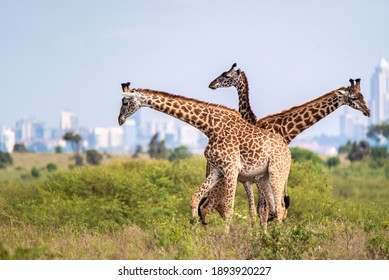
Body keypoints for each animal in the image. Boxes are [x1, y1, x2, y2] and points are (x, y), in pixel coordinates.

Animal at [118, 81, 292, 230]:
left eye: (125, 102)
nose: (120, 120)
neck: (209, 128)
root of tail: (288, 152)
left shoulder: (231, 170)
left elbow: (229, 209)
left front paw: (225, 238)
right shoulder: (217, 170)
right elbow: (195, 199)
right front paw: (195, 231)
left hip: (277, 173)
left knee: (279, 208)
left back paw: (276, 239)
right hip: (263, 178)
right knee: (274, 208)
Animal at [203, 63, 370, 225]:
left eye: (360, 96)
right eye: (355, 98)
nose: (367, 111)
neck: (286, 130)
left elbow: (265, 209)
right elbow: (262, 209)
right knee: (211, 205)